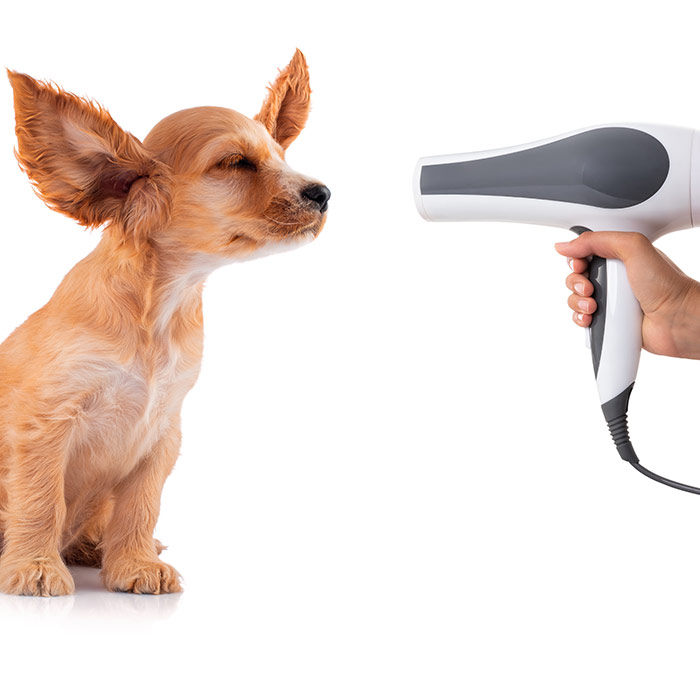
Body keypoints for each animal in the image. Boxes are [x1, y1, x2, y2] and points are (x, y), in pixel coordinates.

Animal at [0, 50, 330, 596]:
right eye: (235, 163)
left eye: (279, 156)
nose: (323, 193)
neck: (160, 311)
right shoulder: (45, 424)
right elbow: (41, 501)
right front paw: (36, 567)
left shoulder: (161, 433)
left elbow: (141, 505)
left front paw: (134, 563)